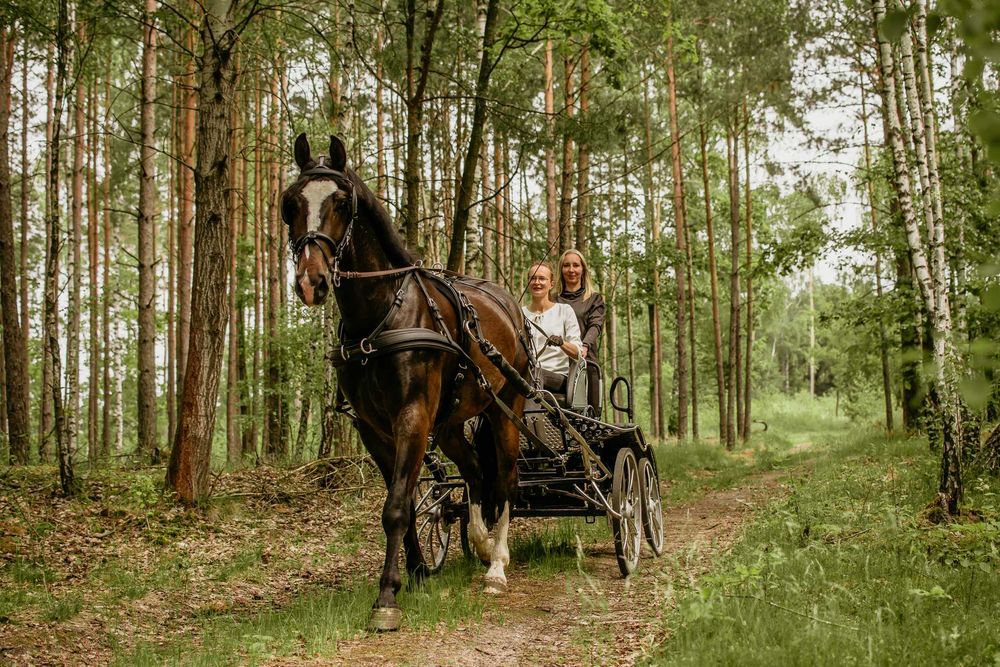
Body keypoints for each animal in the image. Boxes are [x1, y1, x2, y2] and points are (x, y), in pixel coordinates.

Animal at [282, 134, 532, 632]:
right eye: (292, 203)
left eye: (342, 202)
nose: (310, 281)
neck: (380, 313)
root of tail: (509, 305)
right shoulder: (372, 428)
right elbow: (403, 500)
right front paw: (415, 572)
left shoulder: (412, 416)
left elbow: (397, 505)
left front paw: (387, 597)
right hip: (450, 423)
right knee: (476, 472)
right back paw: (478, 543)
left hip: (505, 407)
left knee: (507, 479)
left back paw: (496, 562)